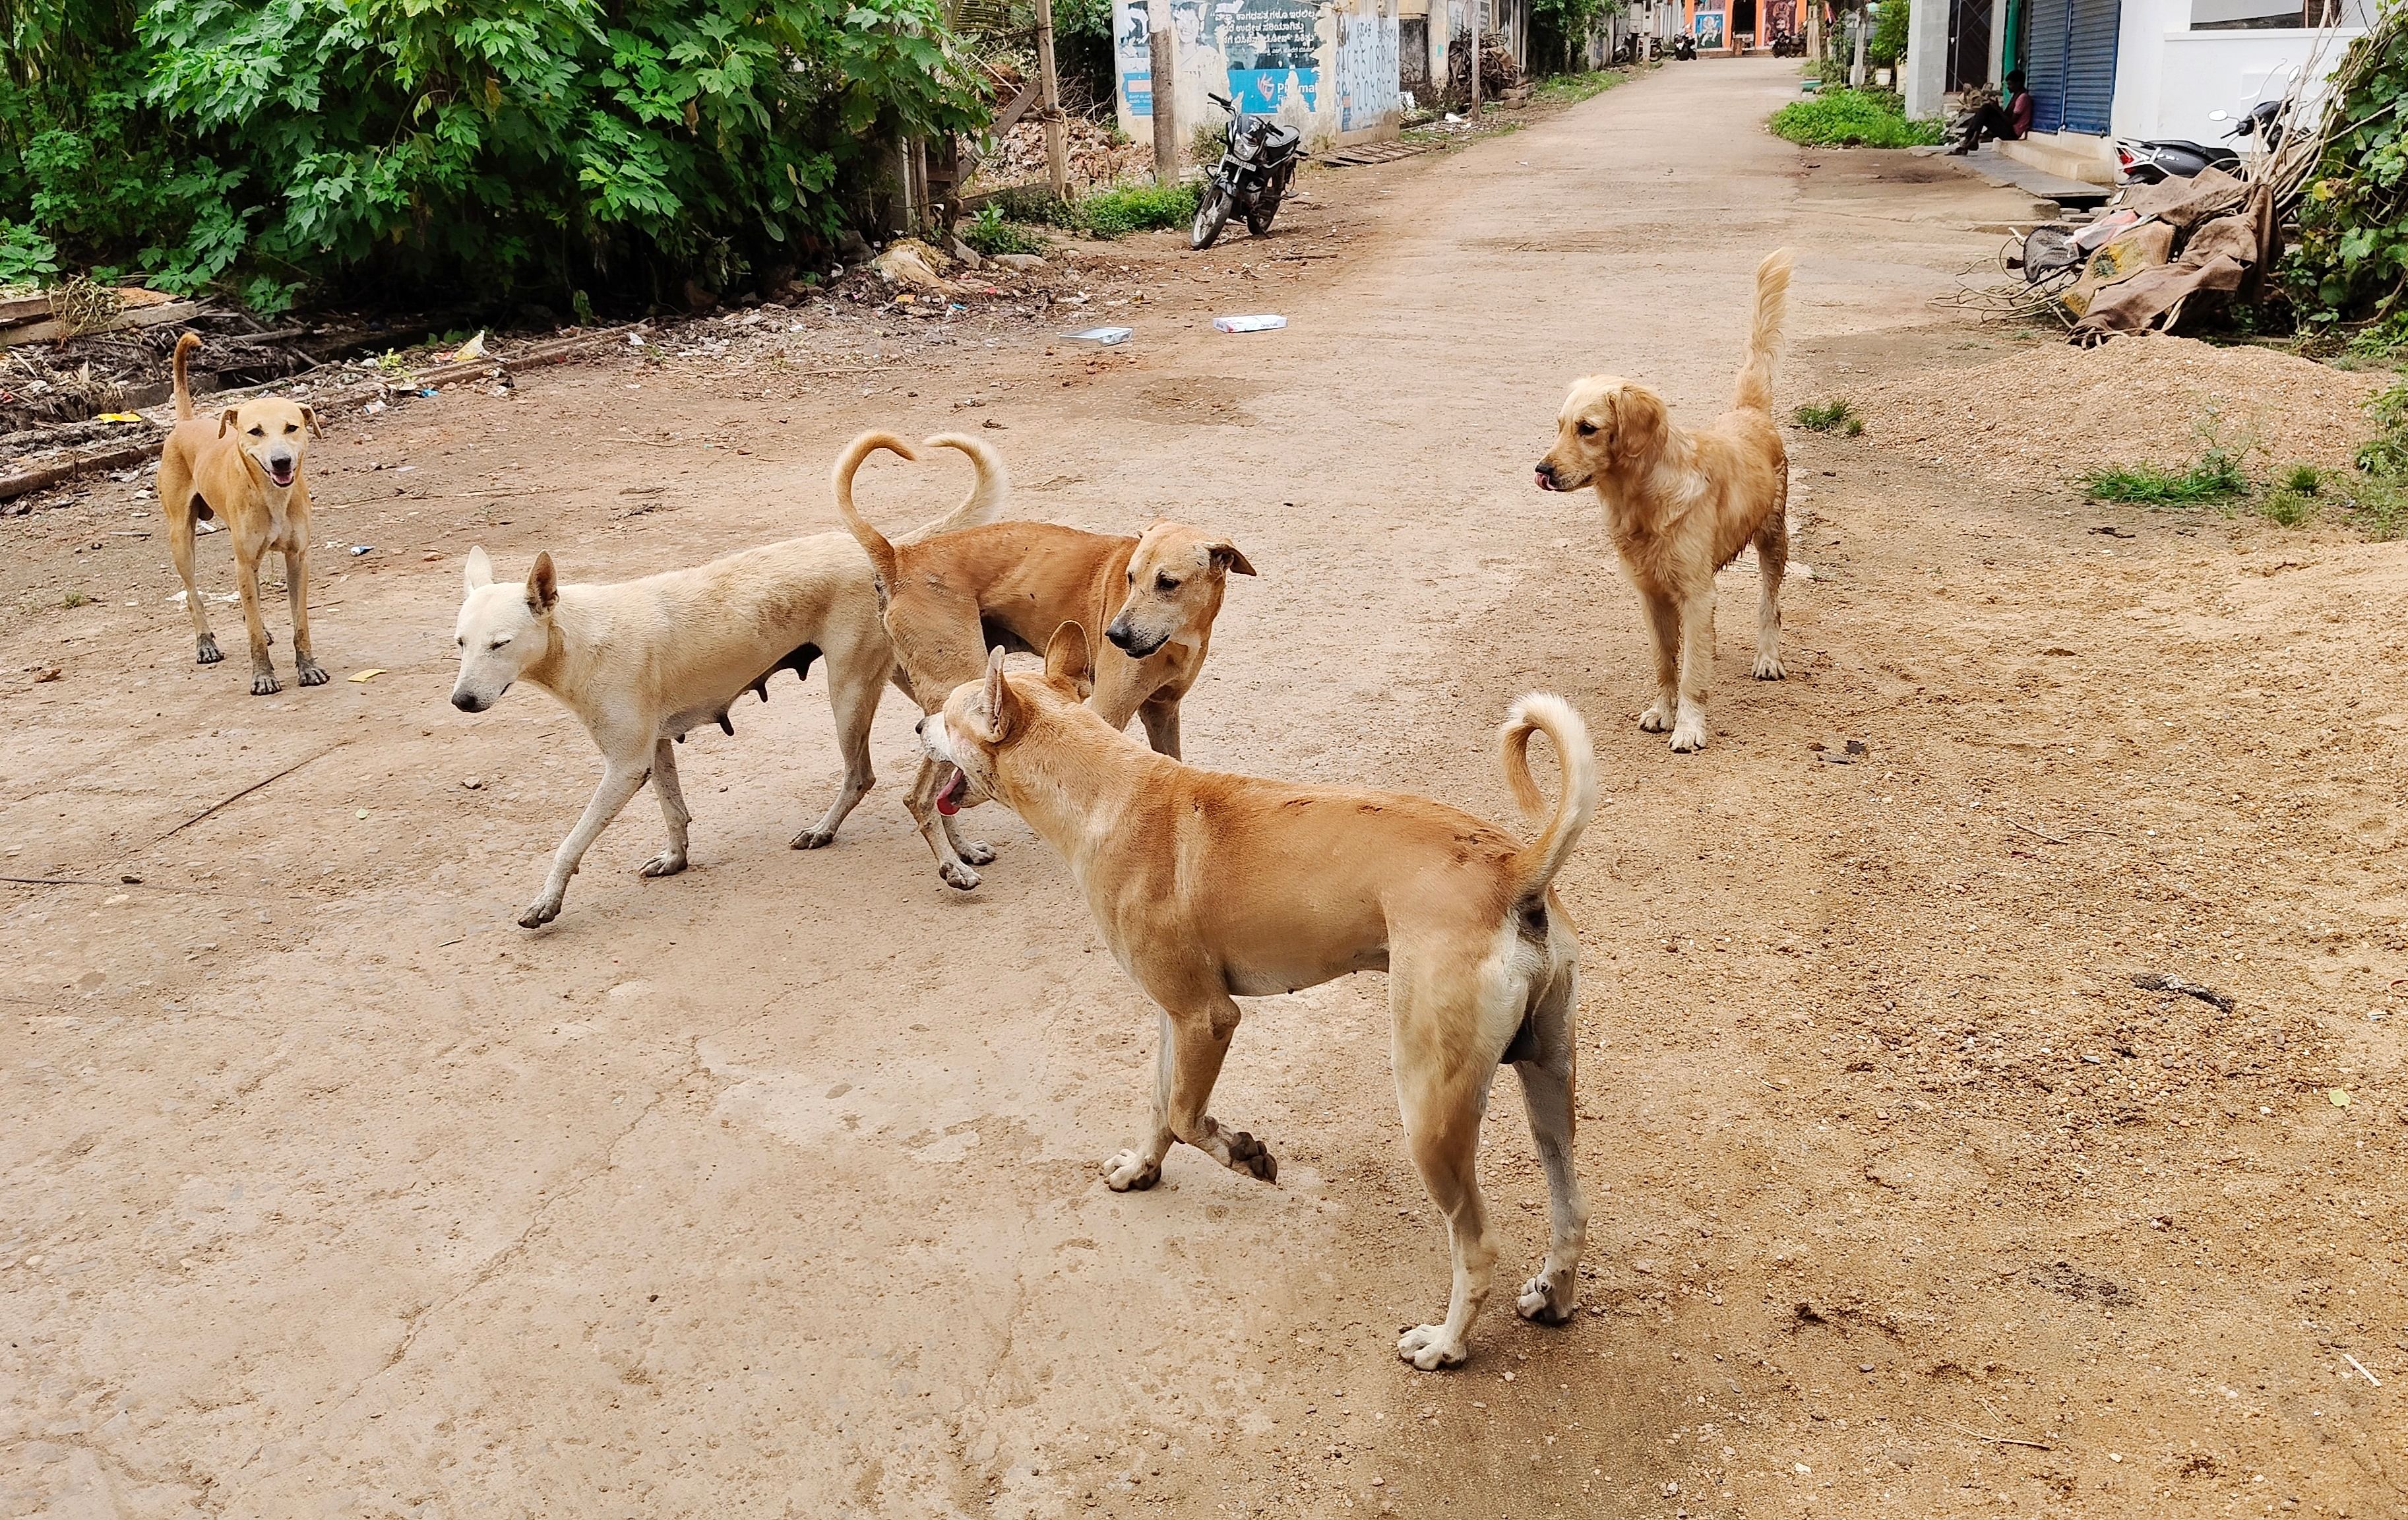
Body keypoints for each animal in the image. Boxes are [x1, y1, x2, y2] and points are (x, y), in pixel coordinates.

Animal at [158, 332, 330, 693]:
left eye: (292, 427)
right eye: (255, 431)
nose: (281, 461)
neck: (273, 496)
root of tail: (186, 423)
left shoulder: (298, 559)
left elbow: (301, 624)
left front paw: (307, 667)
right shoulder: (244, 560)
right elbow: (253, 635)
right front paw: (263, 675)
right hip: (181, 538)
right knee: (193, 593)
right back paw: (205, 644)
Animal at [452, 431, 1006, 930]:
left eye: (499, 644)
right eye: (460, 643)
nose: (461, 700)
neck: (578, 636)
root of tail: (889, 551)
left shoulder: (625, 766)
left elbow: (570, 844)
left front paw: (545, 903)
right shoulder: (656, 748)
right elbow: (675, 813)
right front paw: (675, 859)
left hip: (848, 693)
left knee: (860, 776)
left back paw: (836, 833)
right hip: (902, 678)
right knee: (936, 752)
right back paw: (959, 852)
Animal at [833, 431, 1252, 891]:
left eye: (1168, 583)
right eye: (1130, 578)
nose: (1115, 636)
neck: (1181, 634)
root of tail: (899, 557)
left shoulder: (1163, 712)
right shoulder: (1106, 711)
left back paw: (964, 850)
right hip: (958, 689)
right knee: (919, 796)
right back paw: (952, 867)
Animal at [919, 626, 1599, 1378]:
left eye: (946, 714)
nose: (916, 726)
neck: (1107, 792)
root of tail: (1515, 870)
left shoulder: (1209, 1019)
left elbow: (1188, 1117)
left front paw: (1243, 1153)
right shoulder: (1176, 1017)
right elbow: (1160, 1105)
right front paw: (1142, 1167)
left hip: (1431, 1105)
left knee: (1476, 1247)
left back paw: (1445, 1344)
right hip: (1546, 1079)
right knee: (1572, 1211)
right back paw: (1553, 1296)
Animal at [1531, 245, 1801, 761]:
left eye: (1587, 428)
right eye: (1558, 426)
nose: (1542, 471)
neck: (1641, 498)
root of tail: (1749, 412)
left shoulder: (1694, 591)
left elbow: (1692, 673)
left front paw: (1689, 728)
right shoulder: (1651, 592)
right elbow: (1665, 660)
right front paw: (1663, 711)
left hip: (1773, 539)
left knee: (1770, 604)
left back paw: (1767, 657)